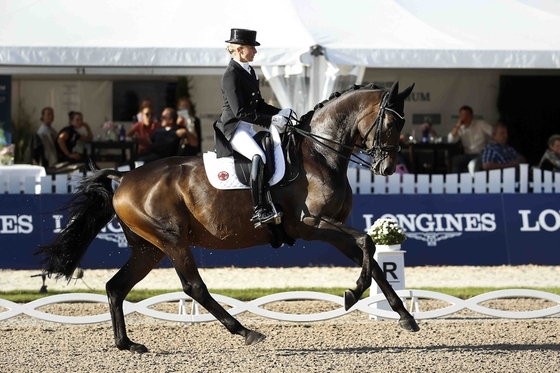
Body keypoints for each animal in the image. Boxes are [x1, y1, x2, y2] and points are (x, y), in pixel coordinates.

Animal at [36, 81, 420, 352]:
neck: (319, 154)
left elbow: (372, 258)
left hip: (148, 248)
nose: (386, 168)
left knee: (116, 287)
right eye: (390, 122)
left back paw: (126, 344)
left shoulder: (332, 230)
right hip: (171, 241)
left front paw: (404, 315)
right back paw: (245, 331)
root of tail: (124, 178)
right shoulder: (311, 225)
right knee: (193, 286)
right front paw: (352, 294)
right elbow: (367, 242)